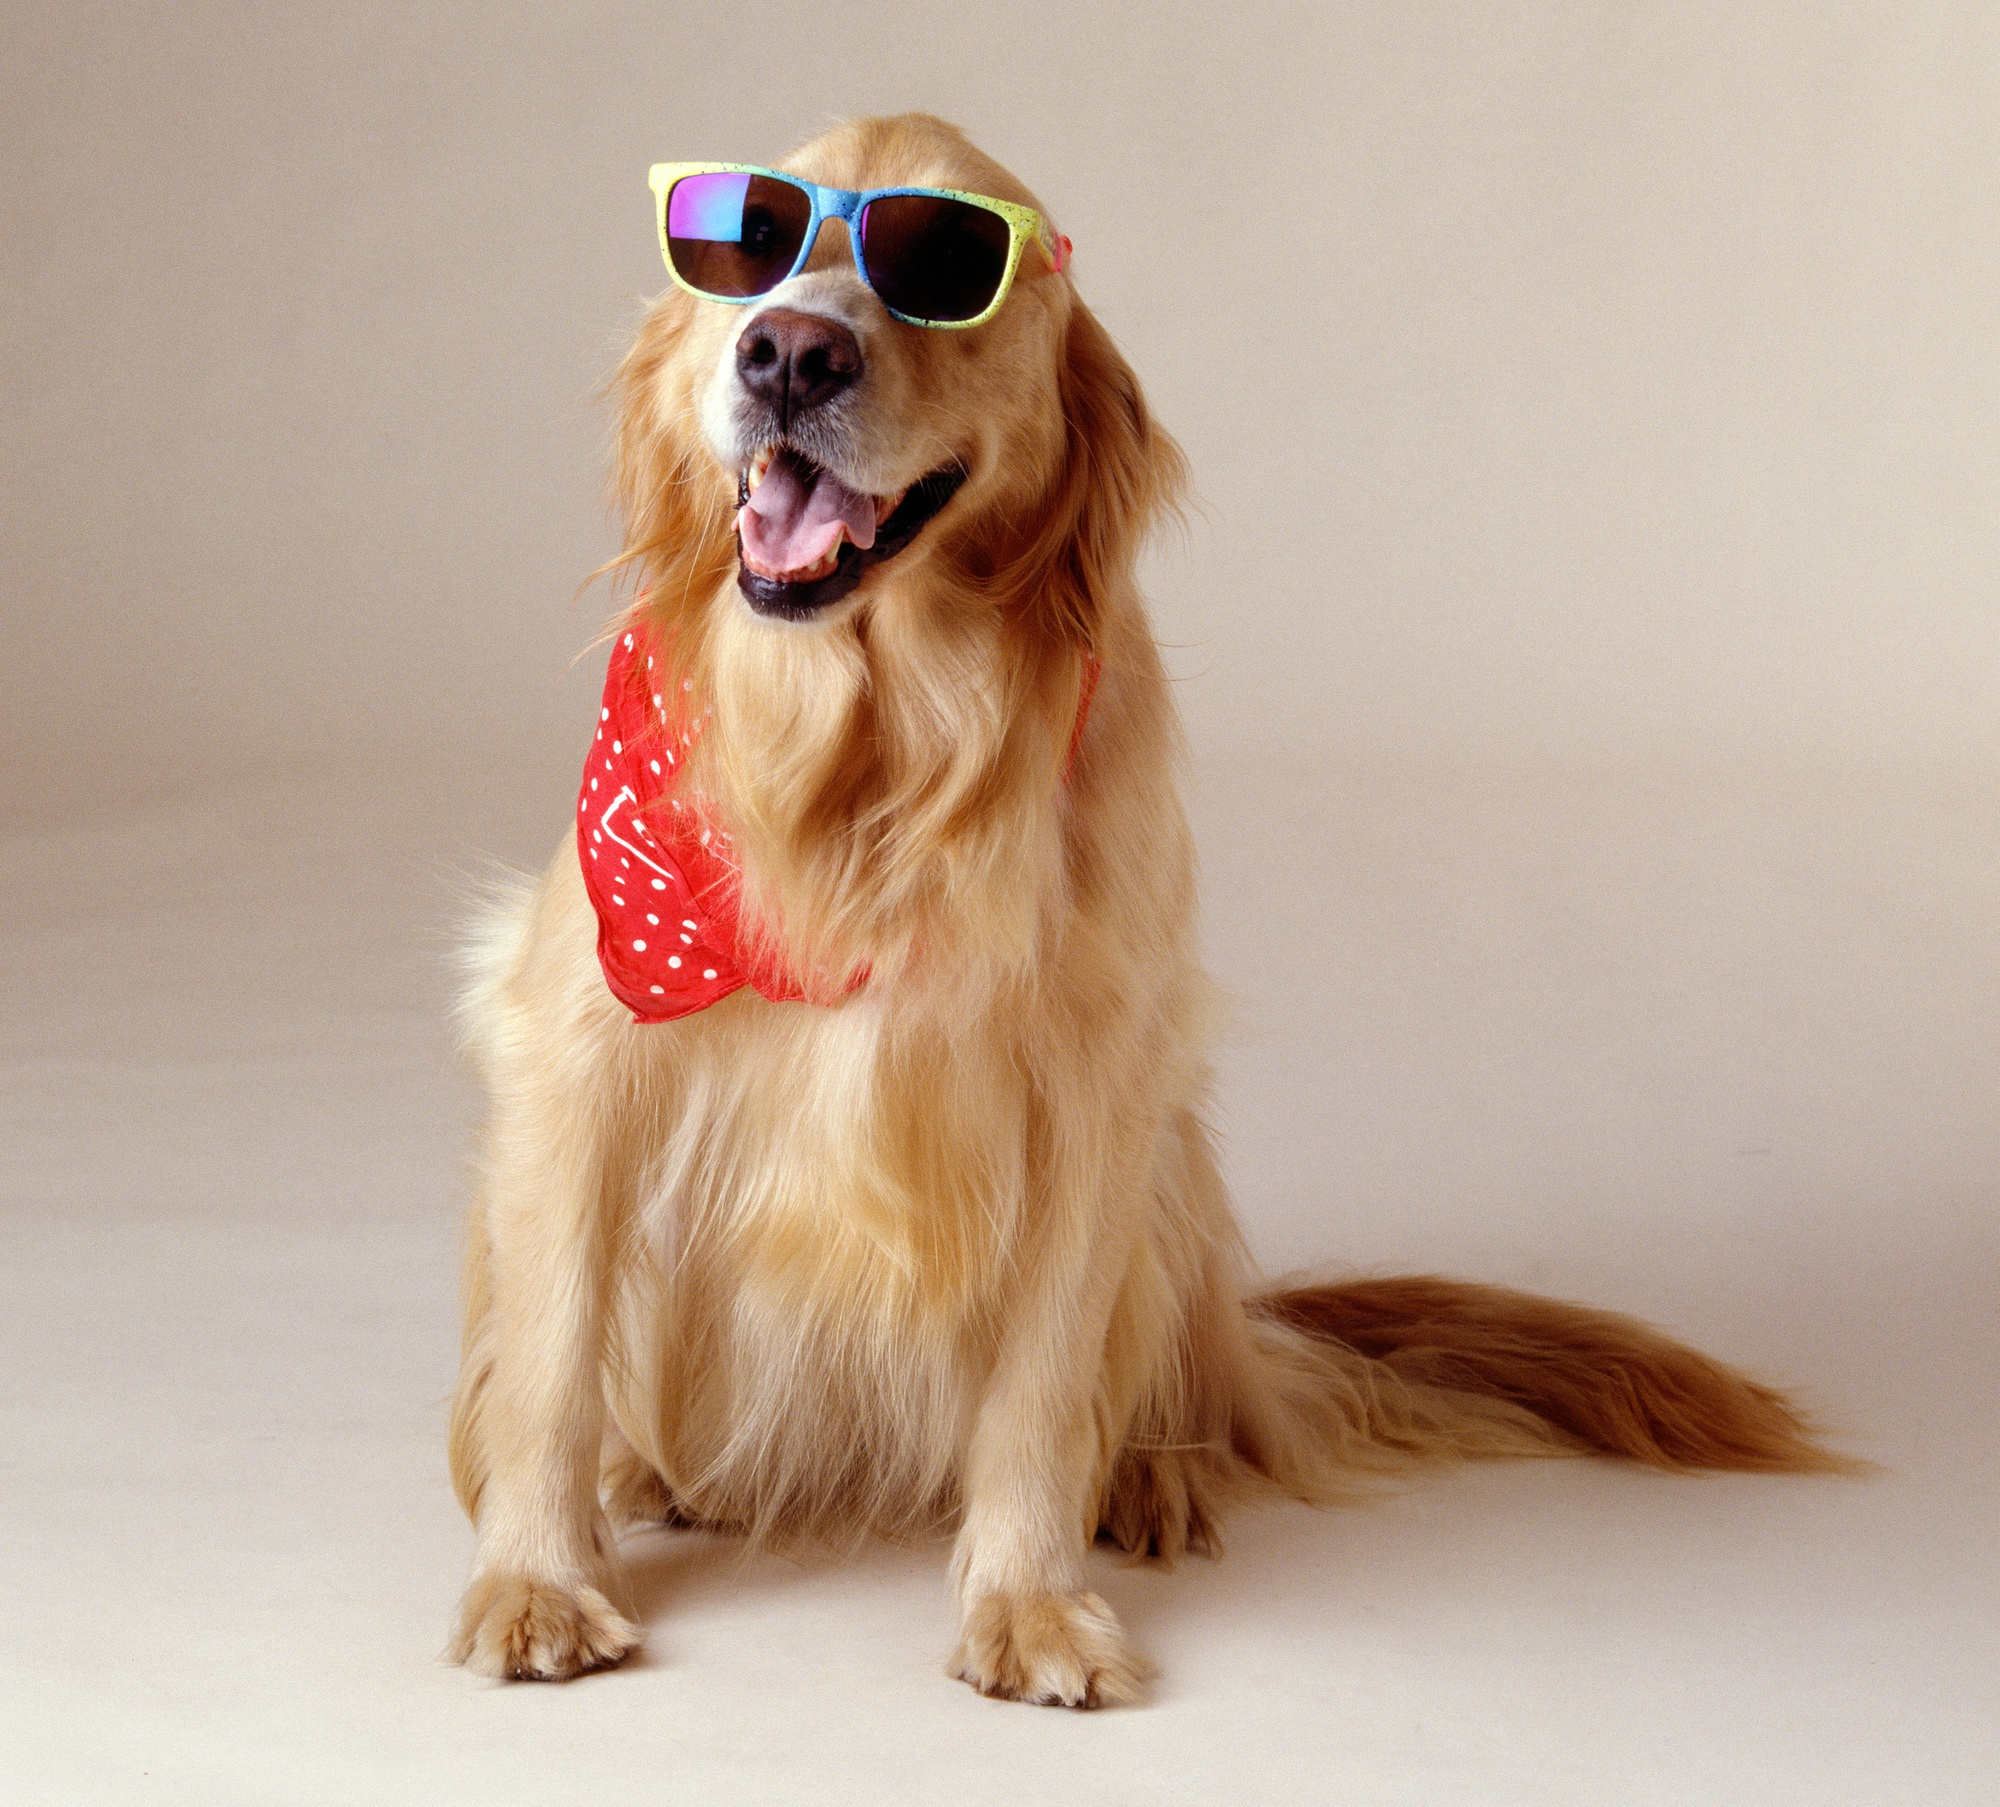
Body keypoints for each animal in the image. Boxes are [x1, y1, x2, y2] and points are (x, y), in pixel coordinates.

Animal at [442, 116, 1840, 1711]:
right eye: (746, 239)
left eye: (947, 265)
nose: (789, 352)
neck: (876, 763)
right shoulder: (582, 1043)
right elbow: (549, 1361)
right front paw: (533, 1572)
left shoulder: (1099, 1086)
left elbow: (1044, 1387)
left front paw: (1030, 1598)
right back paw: (657, 1477)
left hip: (1177, 1166)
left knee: (1151, 1387)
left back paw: (1151, 1481)